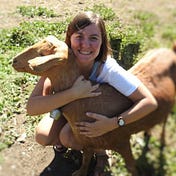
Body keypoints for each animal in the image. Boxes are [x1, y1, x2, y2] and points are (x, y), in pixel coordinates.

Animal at [13, 35, 176, 176]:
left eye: (42, 53)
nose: (14, 61)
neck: (87, 102)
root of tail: (170, 51)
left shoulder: (123, 142)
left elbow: (131, 167)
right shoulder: (86, 142)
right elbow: (85, 161)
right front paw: (79, 173)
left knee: (165, 119)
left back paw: (161, 140)